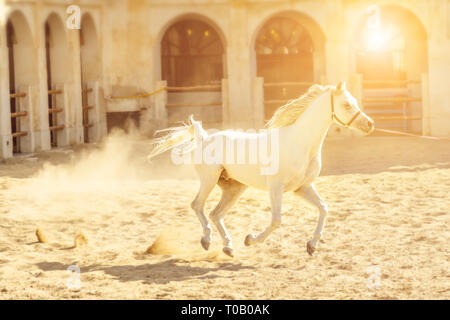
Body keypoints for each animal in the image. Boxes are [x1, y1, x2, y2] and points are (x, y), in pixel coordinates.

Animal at [149, 82, 374, 258]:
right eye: (346, 104)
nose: (369, 125)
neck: (300, 143)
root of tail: (204, 138)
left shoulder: (302, 187)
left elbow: (324, 208)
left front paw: (311, 245)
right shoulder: (276, 187)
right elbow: (276, 220)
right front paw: (250, 240)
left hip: (235, 188)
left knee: (215, 214)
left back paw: (228, 247)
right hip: (209, 179)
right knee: (197, 205)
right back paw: (206, 240)